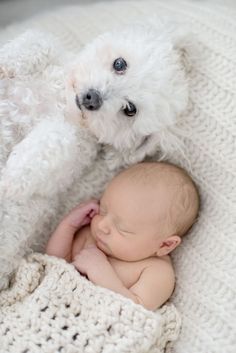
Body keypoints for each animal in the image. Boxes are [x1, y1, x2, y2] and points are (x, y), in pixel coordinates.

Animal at [0, 22, 189, 288]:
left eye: (130, 110)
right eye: (120, 64)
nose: (92, 98)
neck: (61, 100)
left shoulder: (75, 146)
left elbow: (53, 144)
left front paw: (12, 177)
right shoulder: (54, 56)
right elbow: (39, 41)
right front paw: (7, 61)